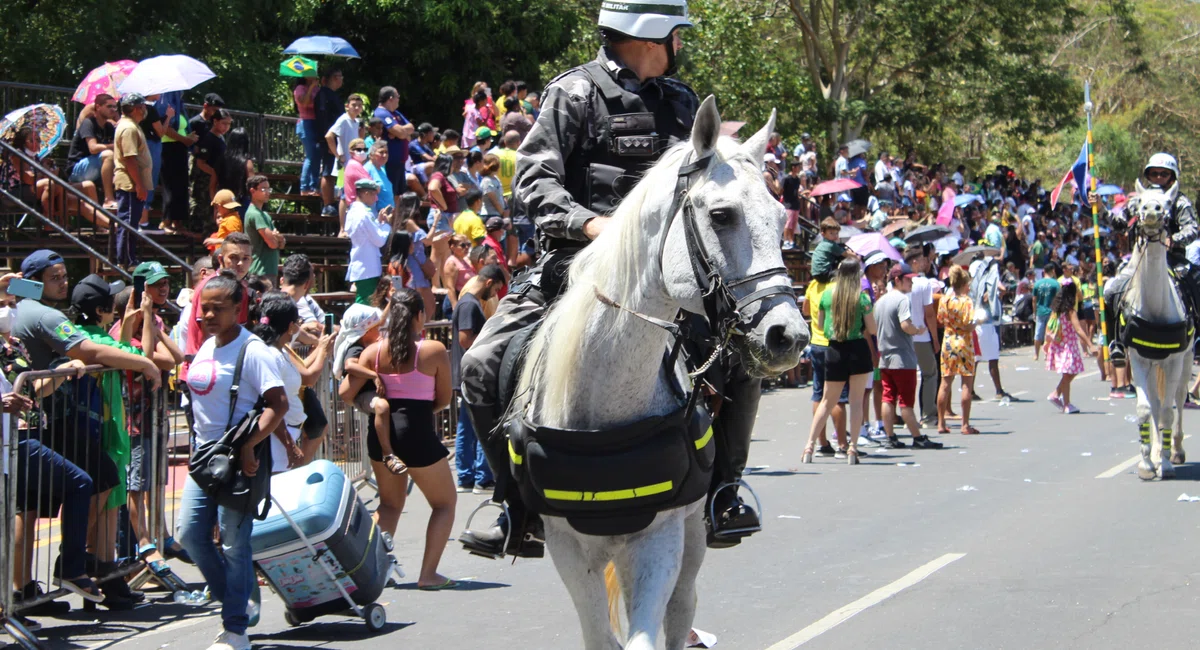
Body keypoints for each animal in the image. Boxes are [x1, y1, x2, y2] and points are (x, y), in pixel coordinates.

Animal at [513, 98, 806, 650]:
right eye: (721, 215)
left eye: (781, 217)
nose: (790, 336)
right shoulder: (569, 550)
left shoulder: (660, 538)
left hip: (686, 542)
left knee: (681, 609)